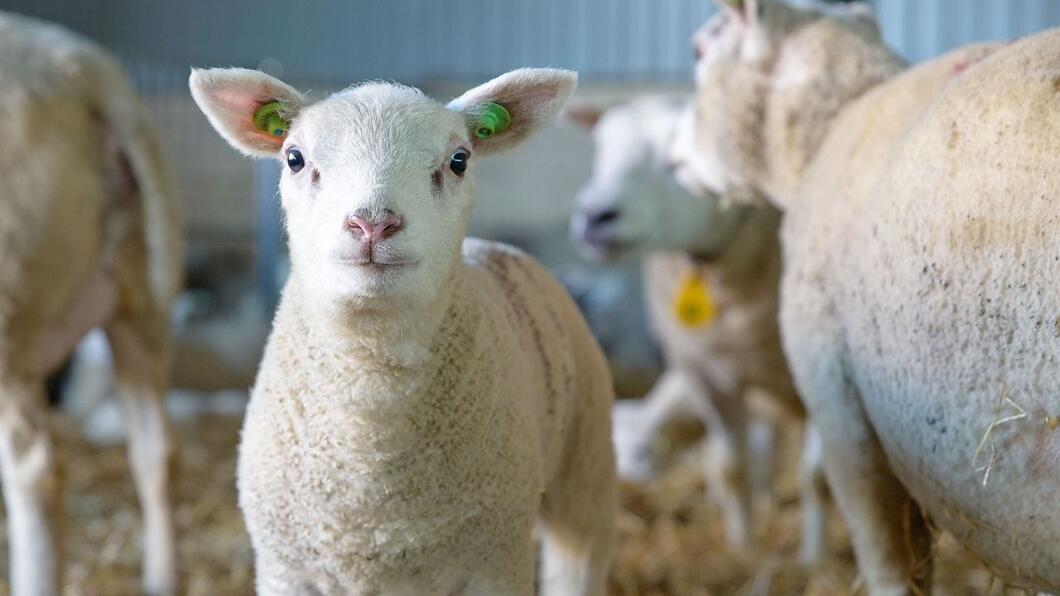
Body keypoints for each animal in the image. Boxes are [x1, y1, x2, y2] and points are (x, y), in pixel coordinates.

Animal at [0, 10, 182, 593]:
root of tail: (87, 74)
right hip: (138, 296)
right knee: (157, 453)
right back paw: (162, 581)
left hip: (10, 307)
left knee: (36, 472)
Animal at [190, 66, 619, 593]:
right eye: (294, 158)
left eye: (459, 160)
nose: (372, 224)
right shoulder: (285, 569)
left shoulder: (494, 563)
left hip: (587, 459)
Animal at [572, 96, 826, 555]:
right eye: (600, 151)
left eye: (676, 161)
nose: (594, 216)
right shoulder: (706, 373)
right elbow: (731, 466)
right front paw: (743, 551)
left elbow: (814, 477)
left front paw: (814, 561)